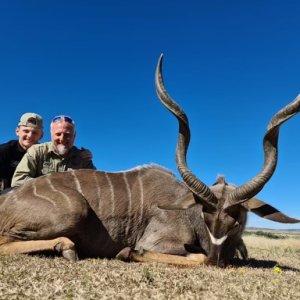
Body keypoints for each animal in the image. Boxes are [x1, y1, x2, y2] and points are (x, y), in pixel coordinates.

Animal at [0, 55, 300, 266]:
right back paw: (67, 247)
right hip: (75, 210)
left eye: (237, 220)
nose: (218, 259)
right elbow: (188, 256)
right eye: (205, 215)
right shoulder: (158, 243)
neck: (186, 209)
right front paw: (127, 252)